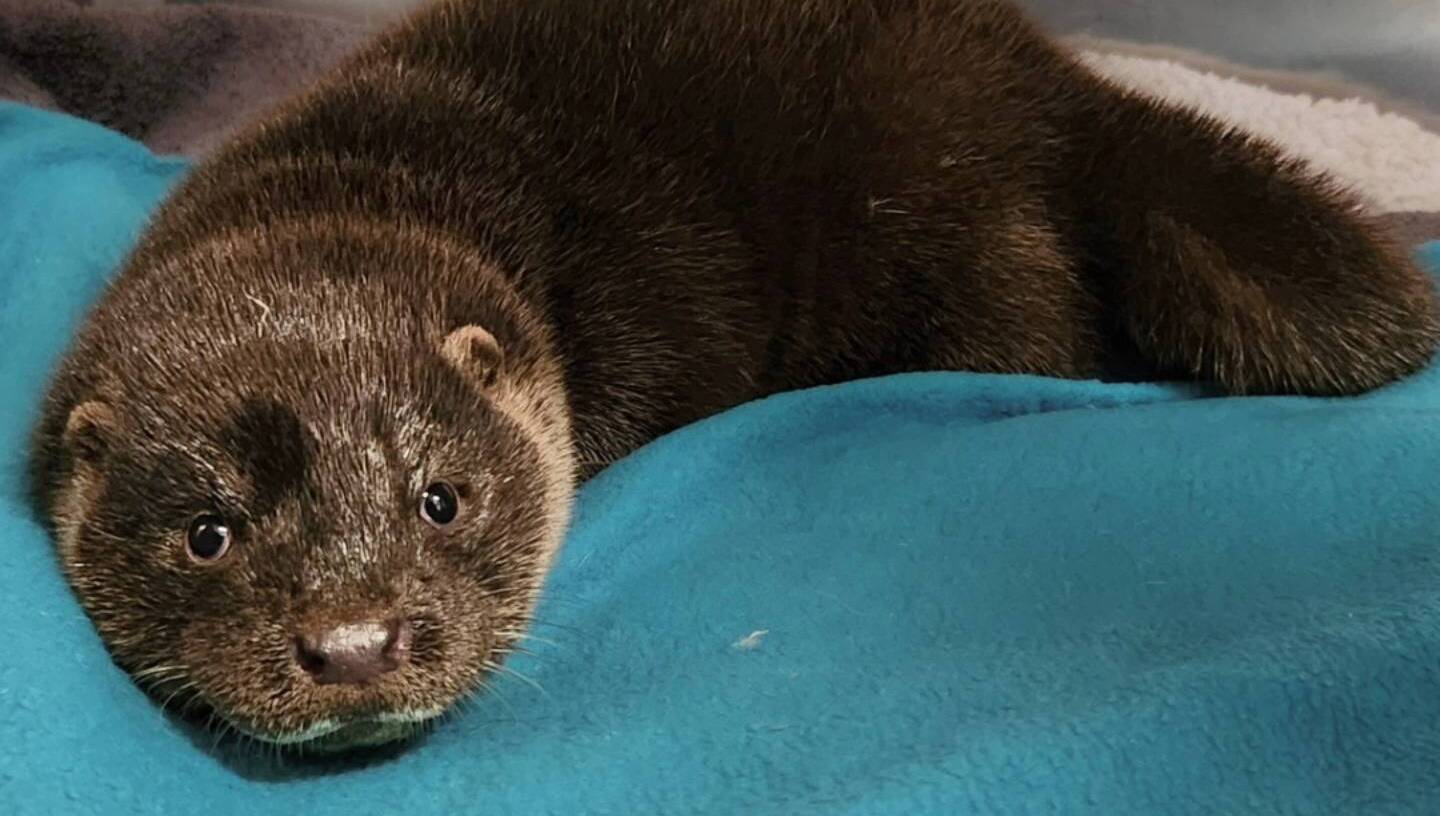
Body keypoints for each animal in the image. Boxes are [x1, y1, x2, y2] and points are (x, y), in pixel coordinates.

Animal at [27, 0, 1439, 754]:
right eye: (208, 533)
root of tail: (1042, 80)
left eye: (442, 499)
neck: (377, 177)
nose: (356, 642)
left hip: (972, 247)